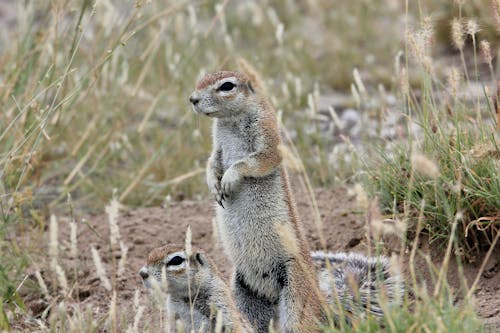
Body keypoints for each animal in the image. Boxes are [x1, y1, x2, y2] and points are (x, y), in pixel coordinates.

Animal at [189, 68, 326, 330]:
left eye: (227, 86)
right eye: (200, 79)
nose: (192, 99)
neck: (229, 121)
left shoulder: (267, 132)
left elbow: (259, 159)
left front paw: (229, 178)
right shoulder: (217, 145)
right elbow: (212, 161)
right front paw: (214, 184)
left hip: (295, 293)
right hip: (244, 292)